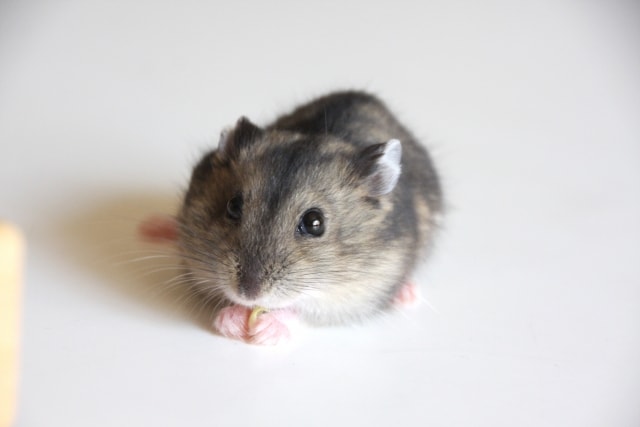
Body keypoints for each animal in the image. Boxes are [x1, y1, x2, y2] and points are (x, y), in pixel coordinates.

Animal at [175, 91, 442, 344]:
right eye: (233, 206)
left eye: (315, 223)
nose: (248, 294)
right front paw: (229, 322)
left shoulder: (358, 291)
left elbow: (299, 309)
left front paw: (263, 332)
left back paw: (407, 294)